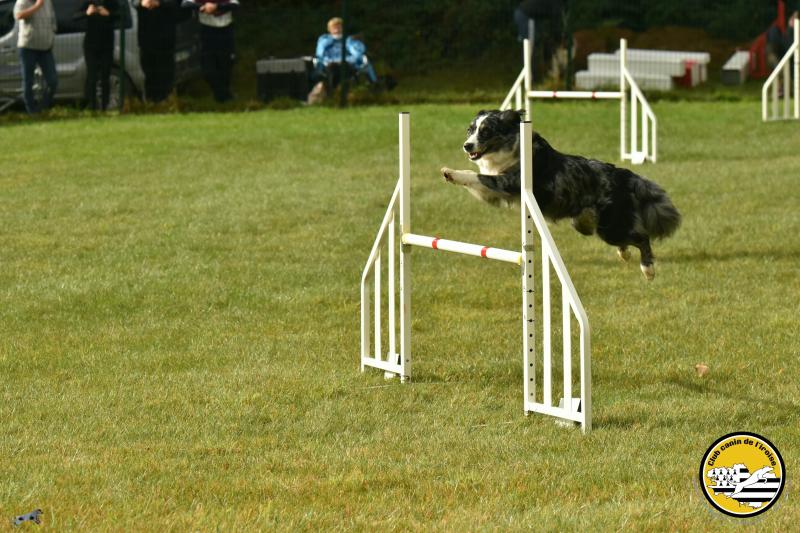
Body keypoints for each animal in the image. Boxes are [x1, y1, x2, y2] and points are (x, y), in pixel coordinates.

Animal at [441, 109, 681, 280]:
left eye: (486, 131)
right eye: (470, 130)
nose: (467, 145)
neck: (511, 148)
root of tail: (625, 174)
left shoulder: (507, 182)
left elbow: (474, 175)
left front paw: (450, 172)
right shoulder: (493, 193)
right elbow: (476, 178)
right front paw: (451, 174)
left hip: (610, 227)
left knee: (641, 237)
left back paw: (648, 269)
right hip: (587, 225)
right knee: (627, 238)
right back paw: (625, 254)